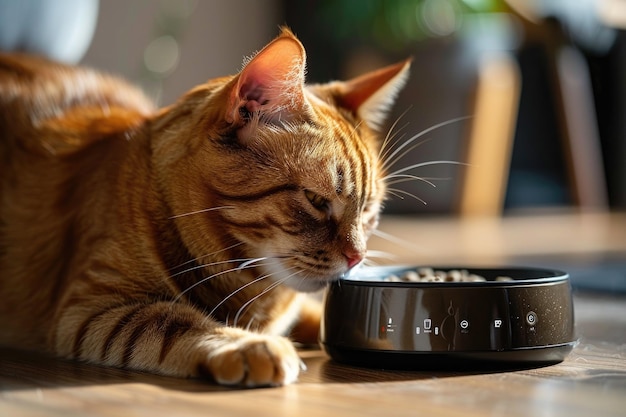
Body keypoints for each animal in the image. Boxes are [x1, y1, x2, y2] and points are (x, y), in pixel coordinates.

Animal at [0, 28, 408, 386]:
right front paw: (249, 345)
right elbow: (171, 320)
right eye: (316, 200)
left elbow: (315, 313)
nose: (357, 257)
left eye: (369, 211)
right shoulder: (91, 308)